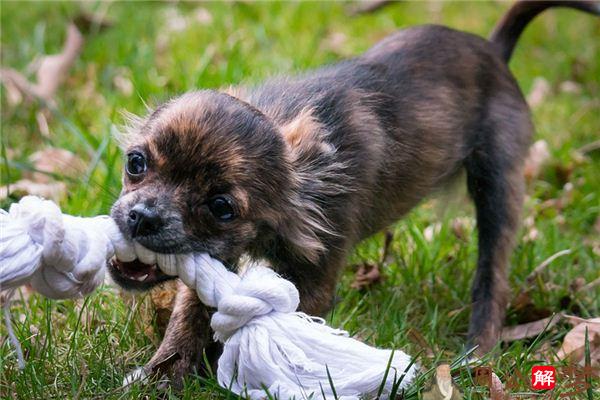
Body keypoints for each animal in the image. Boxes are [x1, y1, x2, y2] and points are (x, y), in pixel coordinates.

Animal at [109, 0, 600, 388]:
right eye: (136, 163)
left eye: (221, 207)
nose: (142, 217)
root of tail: (494, 51)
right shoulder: (215, 259)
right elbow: (188, 316)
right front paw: (161, 376)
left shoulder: (314, 277)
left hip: (498, 185)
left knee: (492, 277)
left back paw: (476, 353)